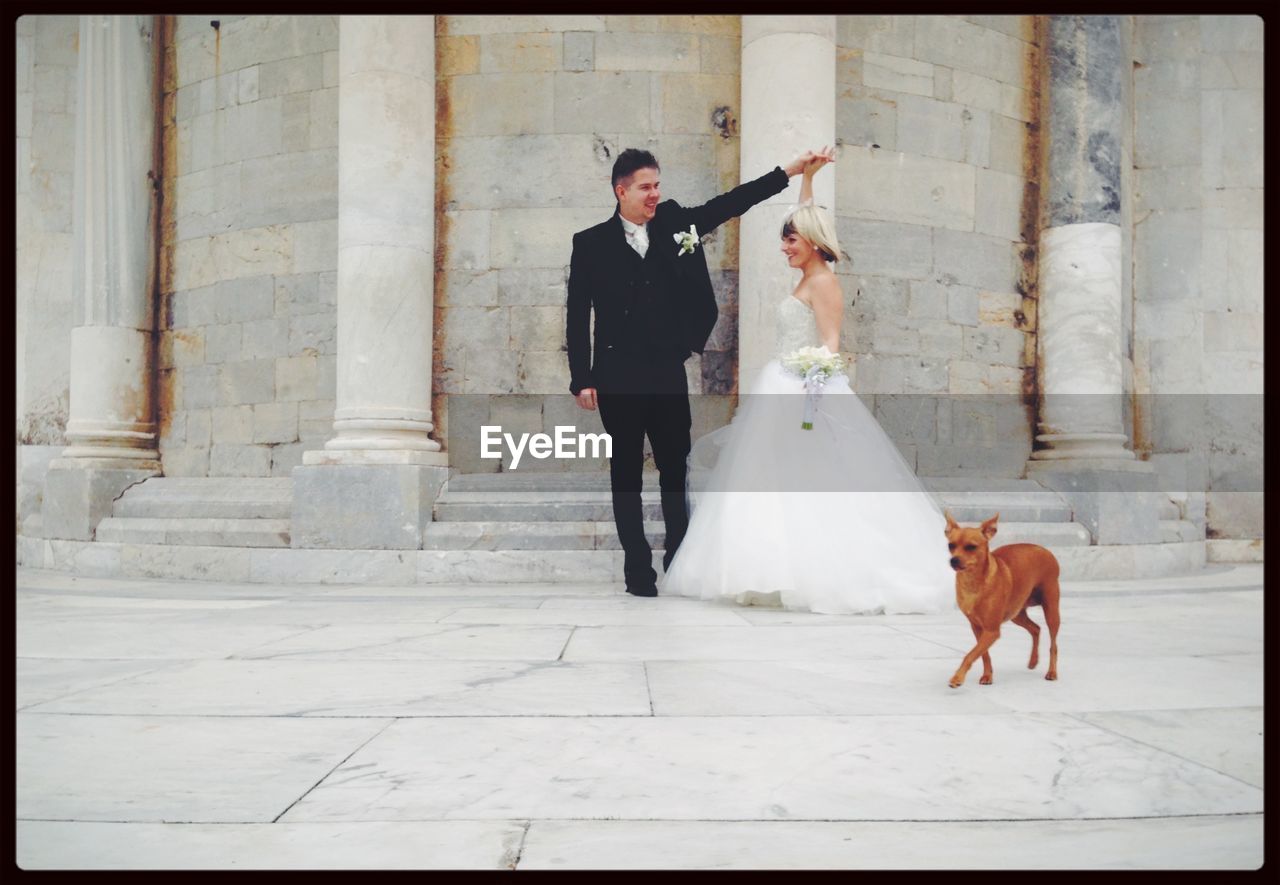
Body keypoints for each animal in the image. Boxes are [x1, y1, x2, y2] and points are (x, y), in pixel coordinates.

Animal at [942, 512, 1059, 691]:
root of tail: (1045, 550)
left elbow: (970, 654)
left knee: (1053, 645)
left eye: (971, 547)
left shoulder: (991, 630)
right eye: (951, 545)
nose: (953, 560)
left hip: (1051, 612)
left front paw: (958, 678)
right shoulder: (978, 628)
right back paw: (1033, 661)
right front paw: (987, 675)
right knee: (1035, 629)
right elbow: (983, 654)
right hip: (1017, 614)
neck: (973, 584)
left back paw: (1051, 672)